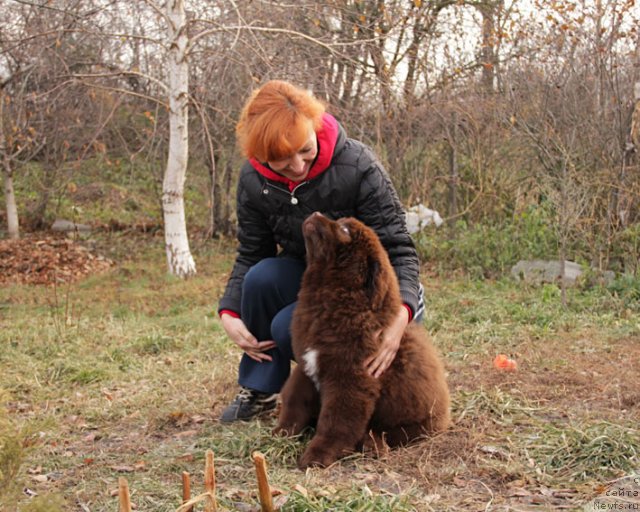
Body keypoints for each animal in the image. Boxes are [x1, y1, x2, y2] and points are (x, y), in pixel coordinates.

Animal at [276, 211, 450, 468]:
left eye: (345, 230)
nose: (315, 214)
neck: (327, 298)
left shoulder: (350, 380)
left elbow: (335, 422)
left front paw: (316, 456)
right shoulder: (307, 365)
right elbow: (294, 403)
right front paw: (281, 434)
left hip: (416, 423)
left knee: (388, 432)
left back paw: (372, 444)